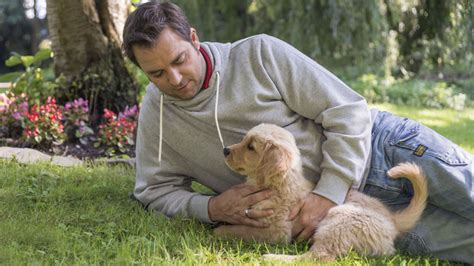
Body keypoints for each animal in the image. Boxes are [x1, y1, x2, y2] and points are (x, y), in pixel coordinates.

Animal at [217, 123, 428, 260]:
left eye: (251, 147)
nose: (225, 150)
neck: (279, 184)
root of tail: (392, 219)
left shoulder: (277, 231)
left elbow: (239, 230)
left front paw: (219, 230)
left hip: (340, 219)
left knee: (319, 257)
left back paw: (272, 258)